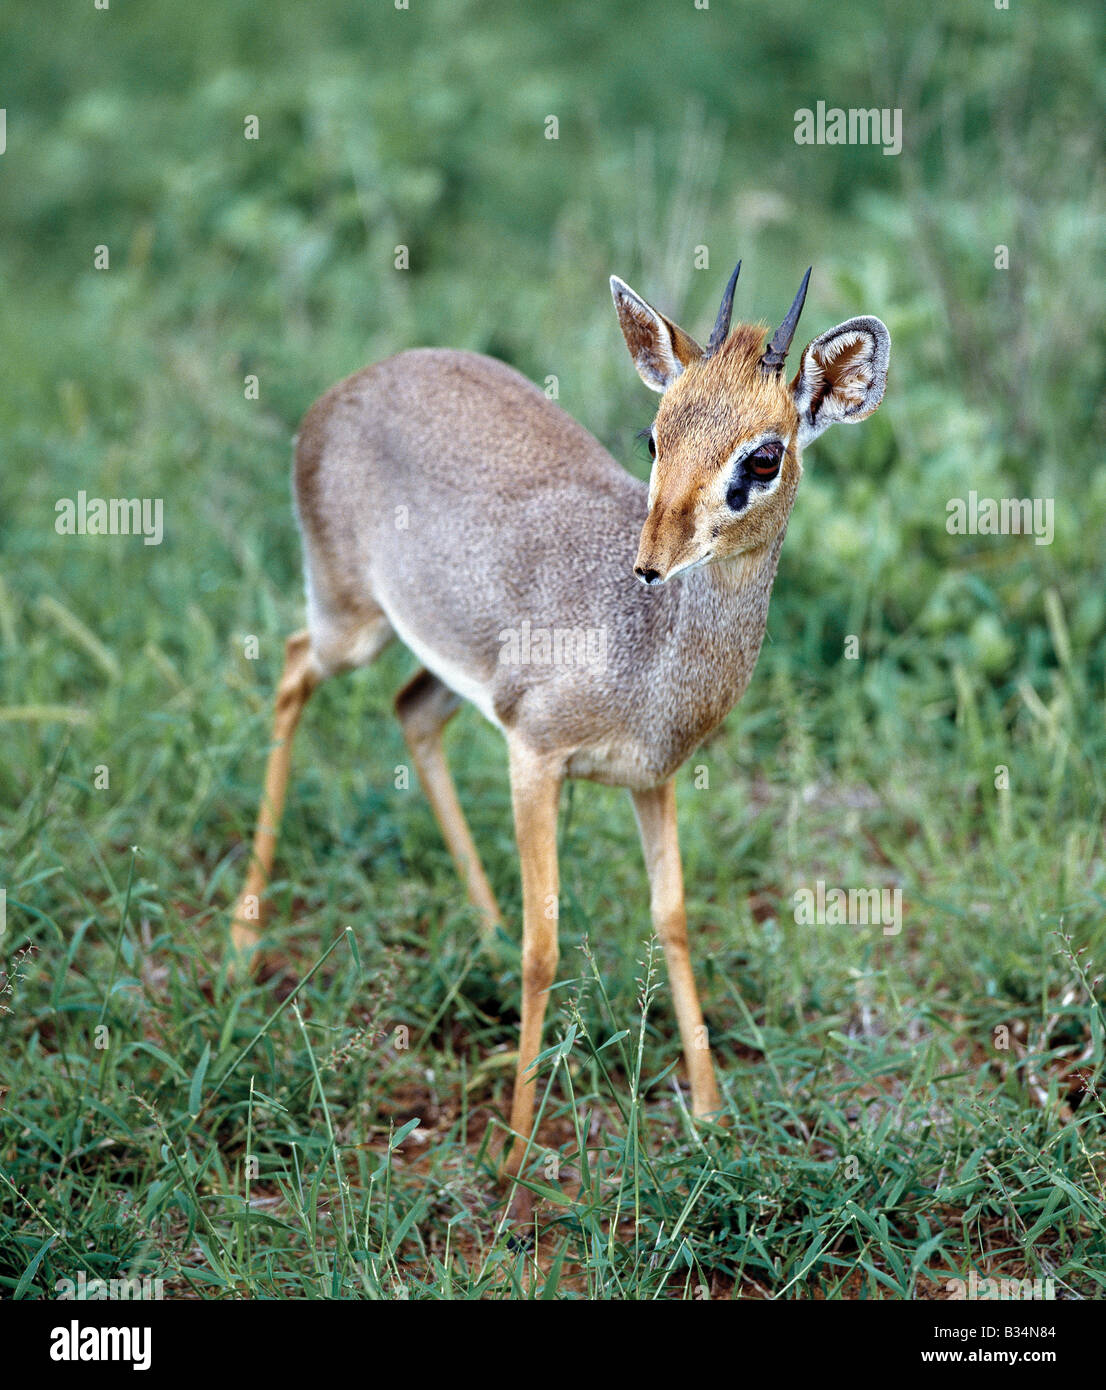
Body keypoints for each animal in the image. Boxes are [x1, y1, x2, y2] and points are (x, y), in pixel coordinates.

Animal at [226, 261, 889, 1195]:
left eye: (764, 455)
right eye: (654, 436)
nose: (650, 564)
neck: (644, 653)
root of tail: (347, 387)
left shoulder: (651, 781)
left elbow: (673, 918)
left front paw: (710, 1112)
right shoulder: (535, 757)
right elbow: (547, 946)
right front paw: (512, 1148)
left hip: (437, 661)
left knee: (408, 712)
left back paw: (482, 930)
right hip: (348, 624)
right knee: (289, 672)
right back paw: (243, 939)